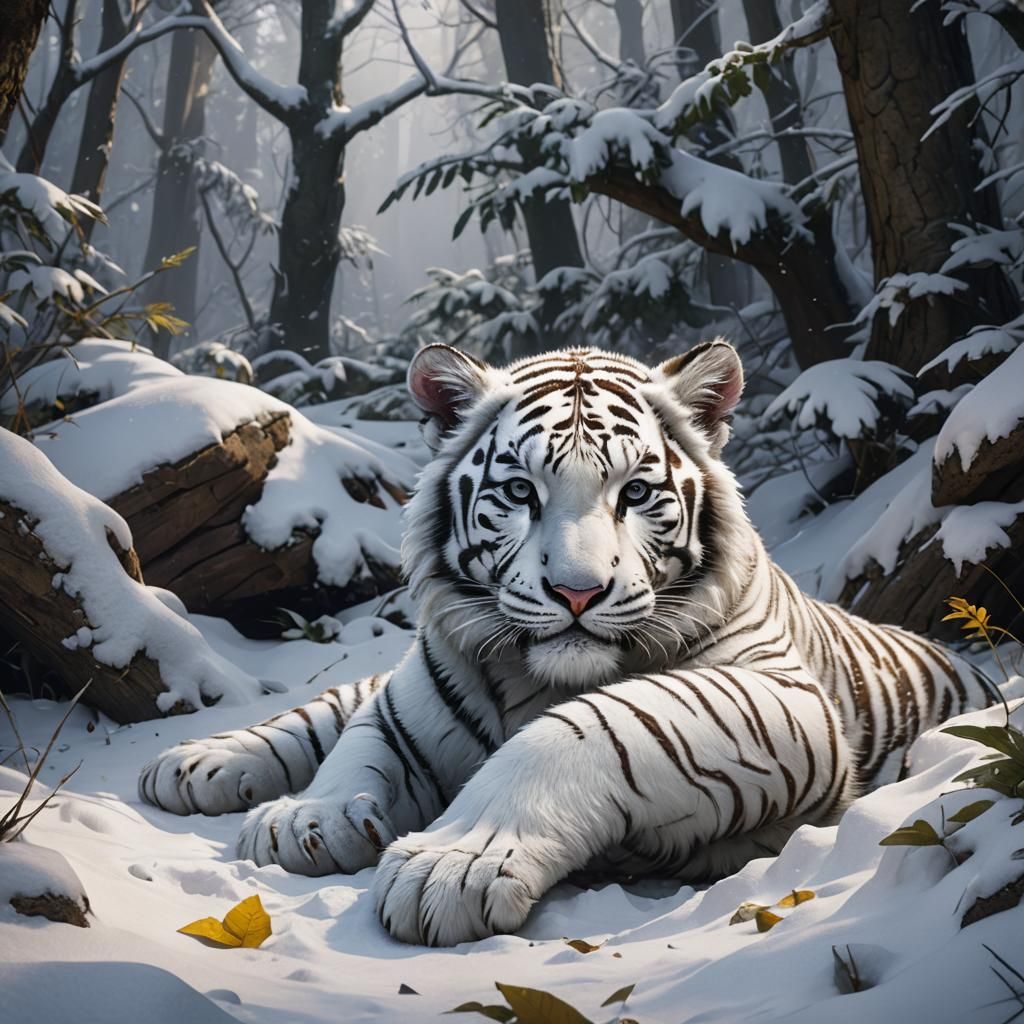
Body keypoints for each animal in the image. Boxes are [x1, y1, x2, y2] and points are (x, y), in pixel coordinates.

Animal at [139, 340, 992, 947]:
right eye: (520, 491)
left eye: (636, 493)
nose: (577, 592)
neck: (537, 679)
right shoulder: (416, 697)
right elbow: (364, 740)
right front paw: (311, 817)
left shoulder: (782, 697)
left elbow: (590, 728)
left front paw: (456, 862)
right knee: (336, 702)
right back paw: (195, 762)